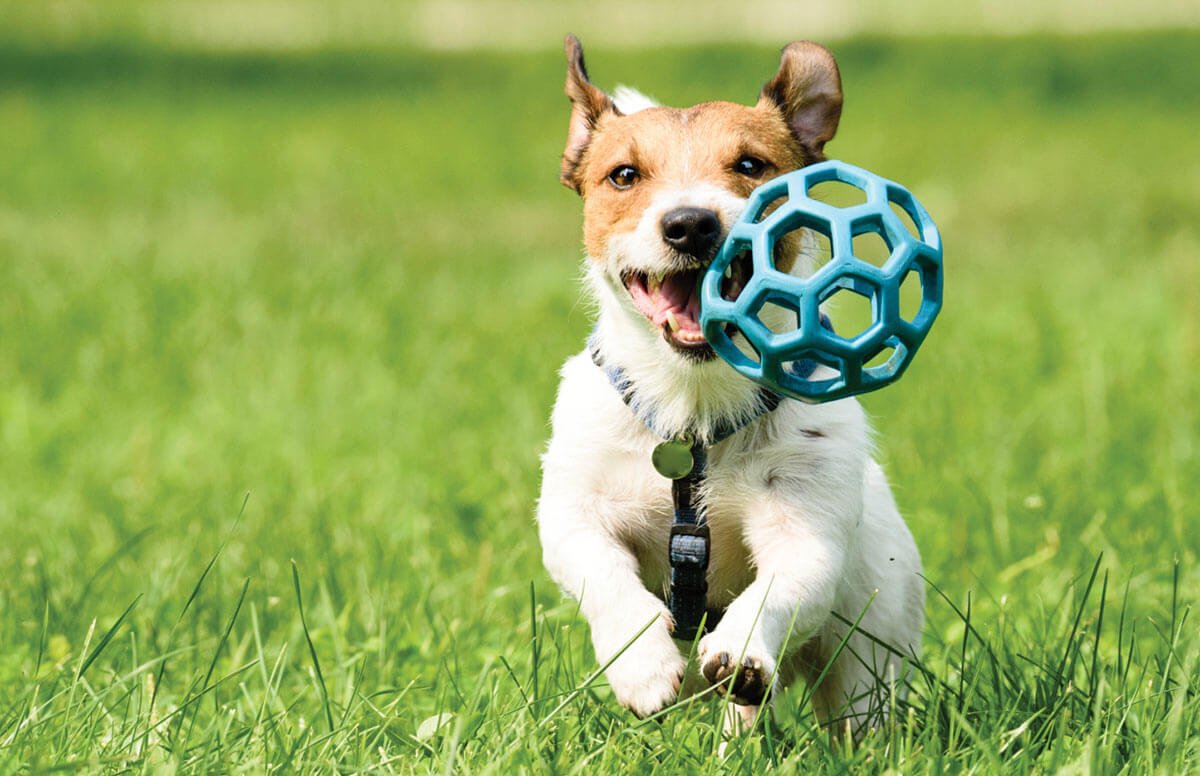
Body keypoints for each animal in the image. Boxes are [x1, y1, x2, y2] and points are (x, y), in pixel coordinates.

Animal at [537, 33, 926, 734]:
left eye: (750, 164)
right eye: (624, 175)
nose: (691, 223)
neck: (692, 411)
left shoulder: (805, 524)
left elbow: (782, 586)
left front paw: (743, 650)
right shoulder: (574, 509)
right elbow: (603, 572)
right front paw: (641, 666)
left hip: (870, 651)